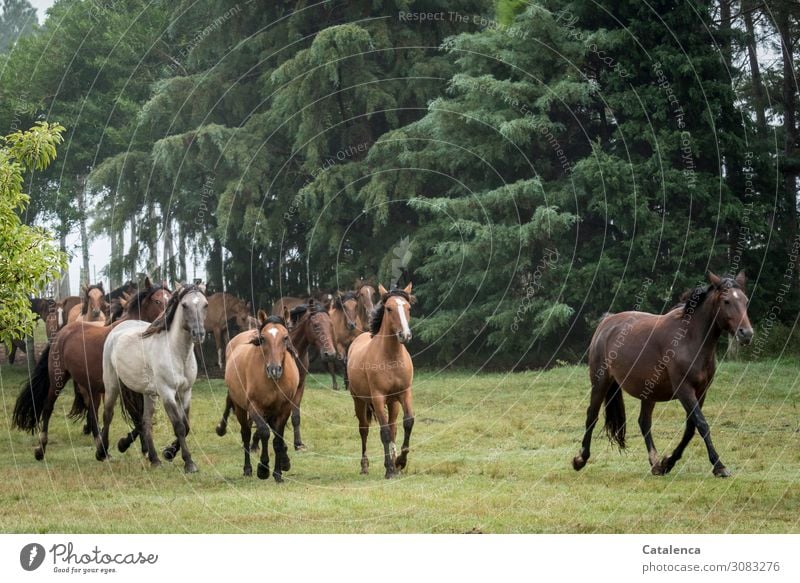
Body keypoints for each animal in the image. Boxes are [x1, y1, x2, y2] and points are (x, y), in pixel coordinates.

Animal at [12, 282, 172, 460]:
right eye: (157, 301)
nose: (168, 322)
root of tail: (61, 333)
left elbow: (140, 416)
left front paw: (140, 448)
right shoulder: (124, 388)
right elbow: (137, 416)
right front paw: (125, 445)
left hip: (90, 385)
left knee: (92, 411)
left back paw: (100, 447)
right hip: (58, 380)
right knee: (48, 408)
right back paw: (41, 449)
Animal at [97, 286, 208, 472]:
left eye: (205, 305)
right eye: (184, 305)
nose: (198, 334)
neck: (176, 353)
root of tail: (117, 330)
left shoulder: (185, 392)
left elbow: (186, 425)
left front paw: (169, 453)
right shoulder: (167, 393)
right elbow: (178, 426)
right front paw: (189, 463)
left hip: (148, 394)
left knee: (146, 422)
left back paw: (154, 459)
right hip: (112, 384)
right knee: (108, 415)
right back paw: (102, 453)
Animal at [225, 314, 300, 484]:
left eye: (285, 337)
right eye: (263, 338)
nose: (274, 369)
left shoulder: (284, 409)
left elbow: (277, 439)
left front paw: (278, 473)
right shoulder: (255, 407)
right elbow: (264, 433)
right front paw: (263, 469)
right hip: (240, 408)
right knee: (246, 433)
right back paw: (248, 469)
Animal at [346, 282, 416, 480]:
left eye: (408, 308)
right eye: (389, 308)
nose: (405, 335)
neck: (391, 358)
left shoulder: (404, 393)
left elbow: (408, 422)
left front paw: (400, 461)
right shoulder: (377, 398)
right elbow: (383, 432)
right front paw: (390, 469)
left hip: (393, 403)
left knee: (393, 428)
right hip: (359, 401)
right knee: (364, 429)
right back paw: (365, 466)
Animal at [572, 272, 752, 476]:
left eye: (745, 301)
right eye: (726, 301)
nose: (746, 334)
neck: (689, 339)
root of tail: (606, 323)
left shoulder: (701, 392)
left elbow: (690, 428)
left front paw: (668, 462)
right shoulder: (684, 390)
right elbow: (702, 424)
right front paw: (719, 466)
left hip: (648, 392)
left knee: (644, 422)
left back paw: (656, 463)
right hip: (600, 382)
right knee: (592, 416)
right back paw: (580, 459)